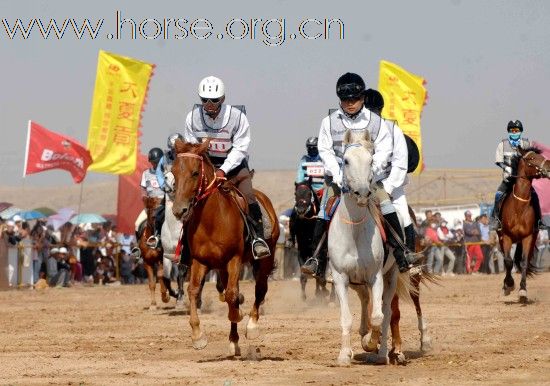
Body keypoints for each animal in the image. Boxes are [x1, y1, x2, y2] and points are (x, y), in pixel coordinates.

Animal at [171, 139, 280, 356]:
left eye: (195, 172)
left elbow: (232, 295)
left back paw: (251, 326)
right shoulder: (199, 261)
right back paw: (233, 340)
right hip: (221, 268)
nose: (179, 210)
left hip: (264, 260)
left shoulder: (234, 259)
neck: (211, 220)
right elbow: (194, 291)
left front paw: (238, 315)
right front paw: (198, 336)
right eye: (173, 172)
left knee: (260, 289)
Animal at [328, 129, 402, 364]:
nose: (362, 193)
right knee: (364, 299)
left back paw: (381, 352)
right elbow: (346, 318)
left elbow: (378, 317)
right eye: (346, 160)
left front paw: (370, 342)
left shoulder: (375, 276)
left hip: (391, 276)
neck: (355, 232)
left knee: (386, 312)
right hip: (356, 281)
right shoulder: (340, 278)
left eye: (371, 161)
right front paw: (344, 354)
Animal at [502, 146, 548, 304]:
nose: (549, 166)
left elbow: (523, 263)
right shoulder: (506, 236)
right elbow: (508, 262)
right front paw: (508, 285)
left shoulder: (528, 237)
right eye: (531, 158)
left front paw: (522, 291)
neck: (519, 207)